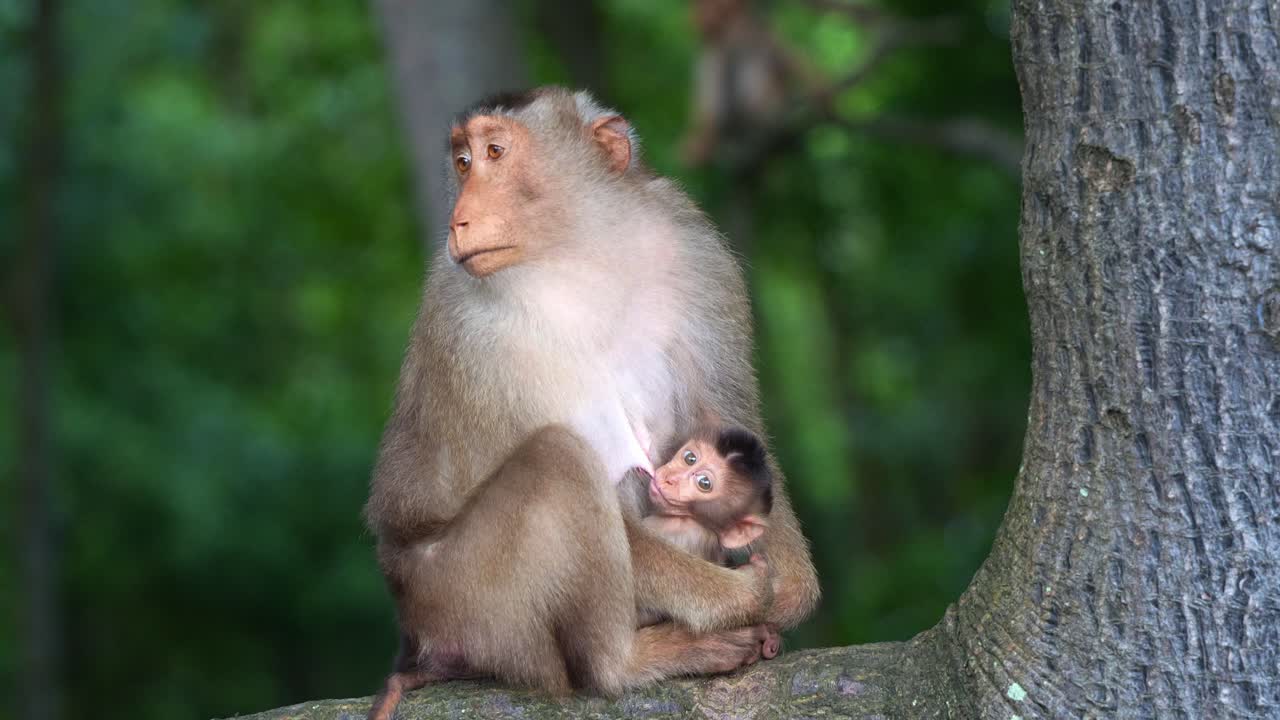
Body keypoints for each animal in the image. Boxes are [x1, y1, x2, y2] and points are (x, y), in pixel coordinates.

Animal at [364, 87, 819, 720]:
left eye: (494, 152)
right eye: (463, 162)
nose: (460, 218)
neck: (579, 256)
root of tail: (418, 635)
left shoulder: (694, 252)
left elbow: (728, 422)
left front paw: (791, 591)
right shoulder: (468, 325)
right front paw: (743, 596)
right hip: (468, 600)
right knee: (559, 460)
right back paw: (627, 660)